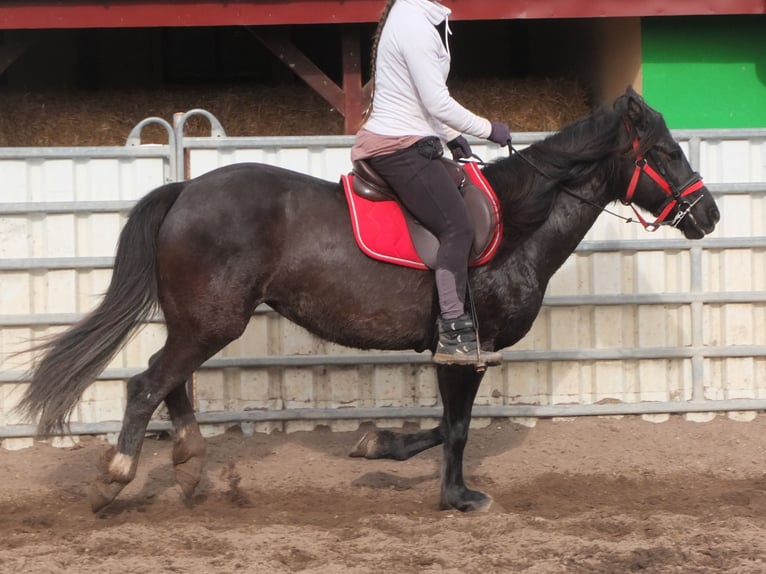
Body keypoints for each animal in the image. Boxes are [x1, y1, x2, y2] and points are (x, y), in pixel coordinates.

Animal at [16, 89, 720, 512]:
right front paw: (454, 495)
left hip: (198, 323)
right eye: (665, 151)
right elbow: (457, 428)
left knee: (171, 384)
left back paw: (189, 468)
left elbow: (443, 427)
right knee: (147, 384)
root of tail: (185, 188)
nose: (708, 213)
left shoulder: (453, 353)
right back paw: (116, 478)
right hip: (210, 323)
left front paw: (379, 445)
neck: (519, 221)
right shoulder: (466, 348)